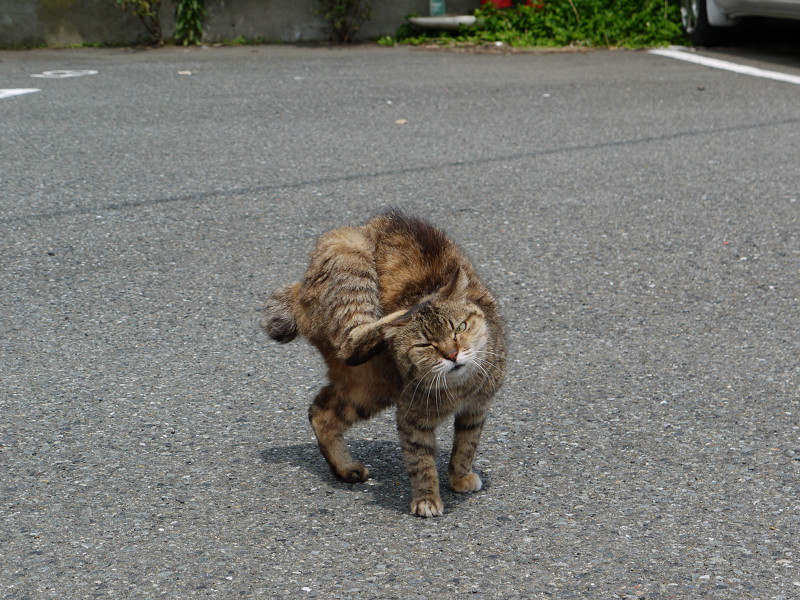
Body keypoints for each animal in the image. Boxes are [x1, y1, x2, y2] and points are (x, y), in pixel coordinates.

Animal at [266, 210, 510, 516]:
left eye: (460, 328)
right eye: (425, 345)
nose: (452, 354)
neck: (458, 389)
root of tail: (299, 292)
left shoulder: (476, 409)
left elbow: (466, 446)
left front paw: (459, 477)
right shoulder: (411, 419)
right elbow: (421, 462)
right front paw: (427, 498)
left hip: (370, 388)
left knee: (320, 412)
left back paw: (345, 468)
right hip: (352, 256)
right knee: (352, 342)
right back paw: (397, 317)